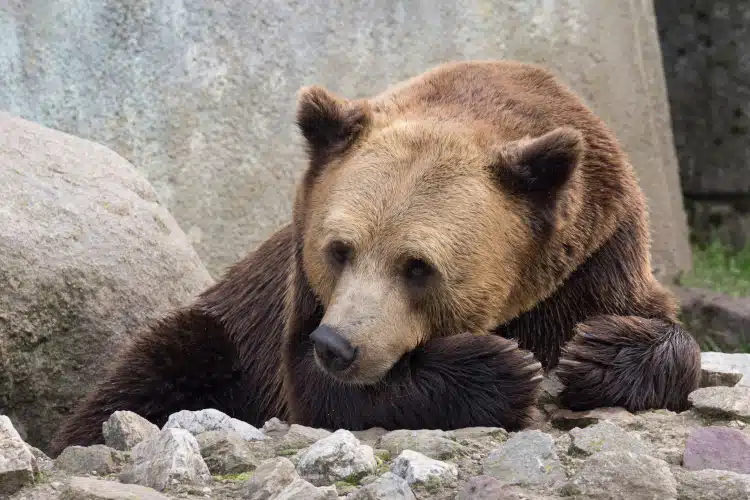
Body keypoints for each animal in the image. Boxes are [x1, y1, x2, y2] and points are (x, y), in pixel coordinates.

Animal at [48, 60, 704, 456]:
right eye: (339, 249)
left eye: (418, 266)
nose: (338, 345)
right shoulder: (296, 301)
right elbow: (318, 391)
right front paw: (501, 368)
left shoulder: (595, 254)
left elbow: (658, 328)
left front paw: (595, 352)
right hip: (221, 331)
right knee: (155, 369)